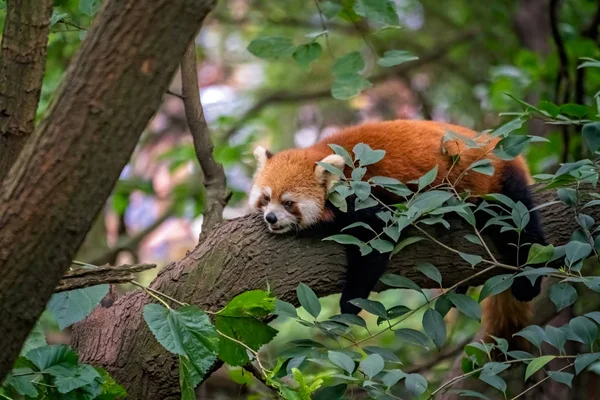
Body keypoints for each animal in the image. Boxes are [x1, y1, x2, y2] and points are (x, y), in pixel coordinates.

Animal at [246, 119, 548, 346]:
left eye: (288, 203)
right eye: (266, 198)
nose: (271, 218)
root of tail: (499, 147)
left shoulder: (368, 195)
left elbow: (374, 247)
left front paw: (349, 305)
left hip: (495, 182)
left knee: (520, 225)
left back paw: (527, 282)